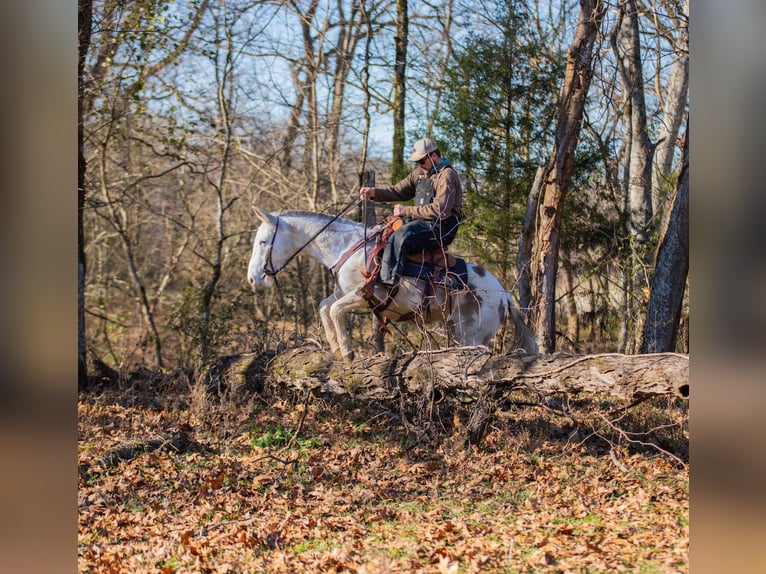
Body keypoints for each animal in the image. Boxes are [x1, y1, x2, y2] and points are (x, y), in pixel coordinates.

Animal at [246, 207, 538, 362]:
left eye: (263, 241)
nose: (253, 279)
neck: (349, 248)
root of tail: (503, 294)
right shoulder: (341, 293)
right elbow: (324, 307)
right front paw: (336, 349)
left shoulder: (361, 295)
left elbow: (335, 310)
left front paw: (348, 352)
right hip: (458, 332)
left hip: (471, 336)